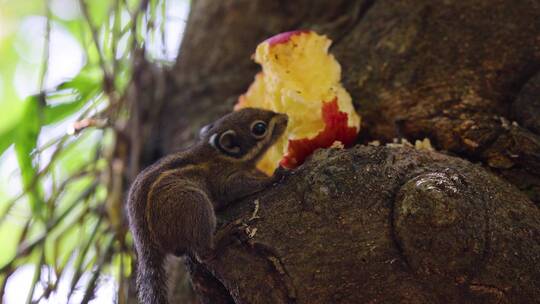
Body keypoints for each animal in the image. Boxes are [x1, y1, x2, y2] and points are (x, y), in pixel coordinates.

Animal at [126, 108, 288, 302]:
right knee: (203, 254)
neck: (219, 153)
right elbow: (237, 187)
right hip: (193, 204)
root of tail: (145, 243)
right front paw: (273, 177)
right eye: (259, 128)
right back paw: (224, 236)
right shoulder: (224, 178)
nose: (285, 118)